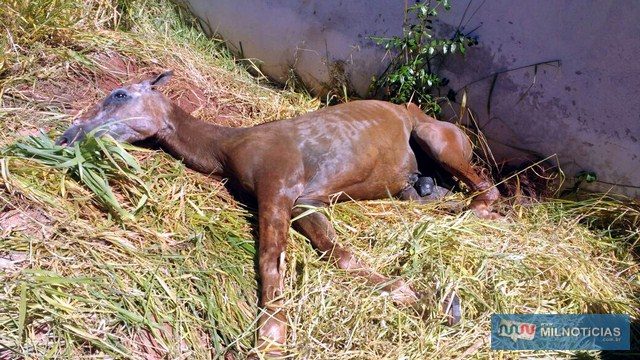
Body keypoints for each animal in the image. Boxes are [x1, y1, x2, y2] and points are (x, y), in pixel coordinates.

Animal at [57, 71, 502, 358]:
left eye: (119, 95)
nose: (67, 136)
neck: (230, 145)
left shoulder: (279, 187)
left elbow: (270, 260)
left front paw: (270, 341)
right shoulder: (307, 201)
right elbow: (339, 254)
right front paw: (432, 302)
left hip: (435, 139)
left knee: (487, 191)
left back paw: (473, 212)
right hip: (412, 184)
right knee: (433, 193)